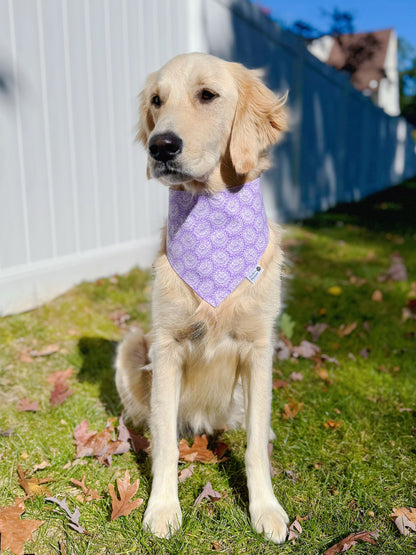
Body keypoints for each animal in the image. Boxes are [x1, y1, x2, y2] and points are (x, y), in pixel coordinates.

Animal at [115, 51, 288, 544]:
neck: (208, 211)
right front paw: (161, 508)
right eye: (157, 100)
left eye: (207, 95)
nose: (160, 146)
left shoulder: (259, 347)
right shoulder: (166, 346)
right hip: (132, 346)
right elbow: (166, 447)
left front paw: (266, 509)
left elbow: (253, 446)